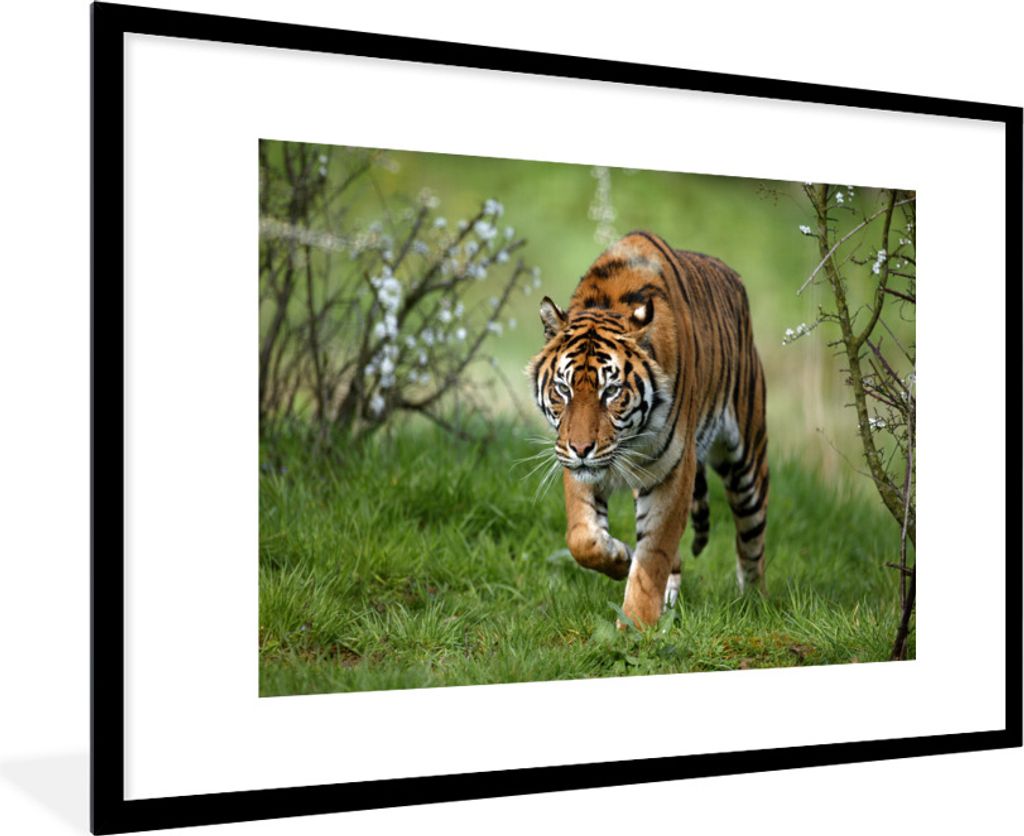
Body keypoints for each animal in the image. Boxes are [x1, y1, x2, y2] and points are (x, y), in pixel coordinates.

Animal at [527, 231, 769, 627]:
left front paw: (635, 625)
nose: (582, 448)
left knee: (752, 540)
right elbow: (582, 538)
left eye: (611, 391)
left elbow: (654, 555)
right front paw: (621, 557)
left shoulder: (673, 470)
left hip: (747, 461)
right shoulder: (574, 464)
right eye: (562, 388)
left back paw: (753, 603)